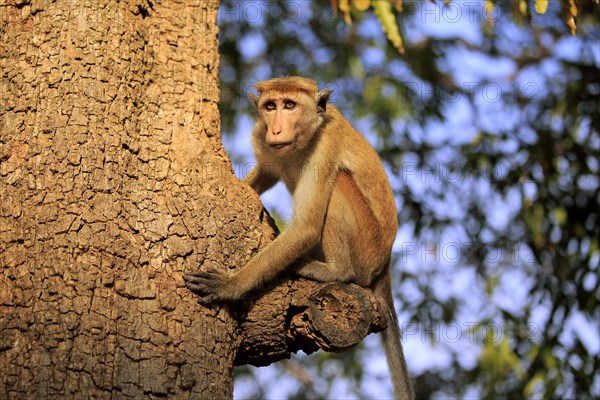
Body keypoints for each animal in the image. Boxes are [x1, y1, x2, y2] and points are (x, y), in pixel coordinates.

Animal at [185, 76, 414, 398]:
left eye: (290, 105)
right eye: (271, 106)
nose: (277, 128)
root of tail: (386, 263)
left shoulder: (325, 145)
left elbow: (306, 227)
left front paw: (230, 285)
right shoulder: (262, 138)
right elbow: (266, 173)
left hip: (366, 247)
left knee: (338, 181)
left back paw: (334, 270)